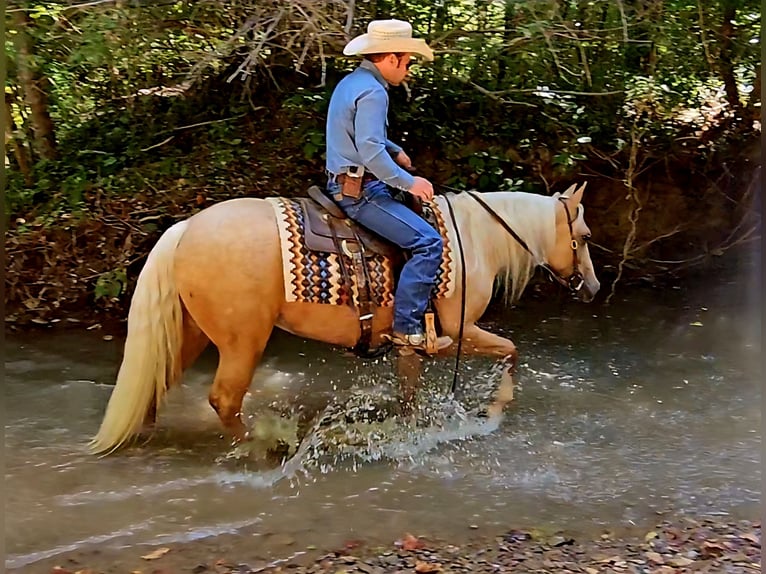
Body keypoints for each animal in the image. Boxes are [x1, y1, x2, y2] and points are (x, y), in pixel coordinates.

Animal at [89, 182, 599, 454]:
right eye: (585, 236)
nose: (593, 287)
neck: (471, 241)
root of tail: (186, 228)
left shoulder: (411, 342)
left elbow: (409, 394)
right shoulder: (459, 332)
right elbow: (511, 351)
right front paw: (493, 411)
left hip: (191, 333)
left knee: (159, 382)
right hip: (242, 341)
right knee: (224, 400)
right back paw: (264, 449)